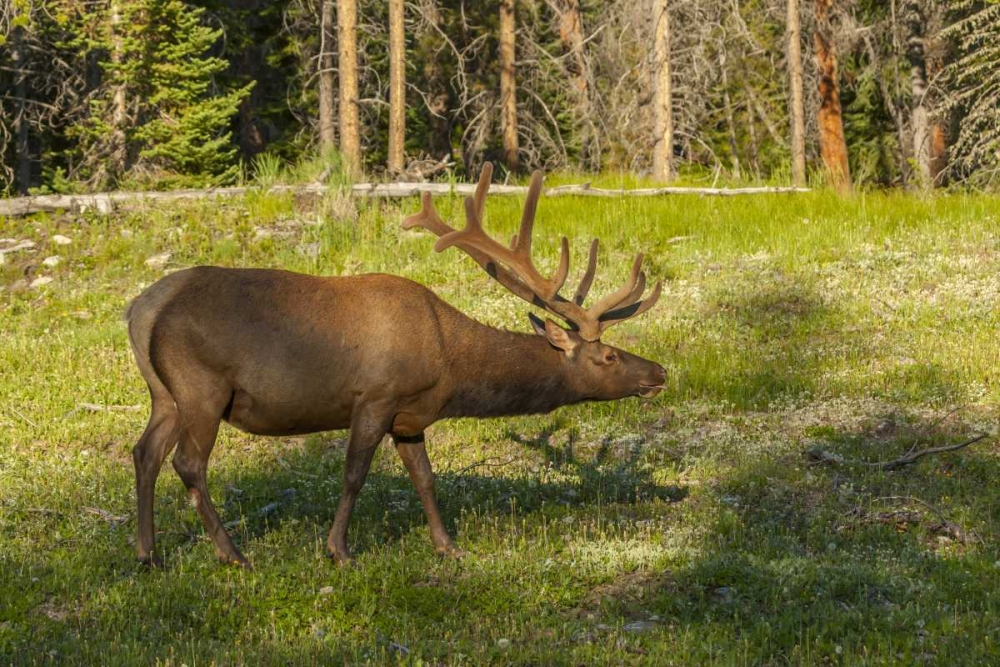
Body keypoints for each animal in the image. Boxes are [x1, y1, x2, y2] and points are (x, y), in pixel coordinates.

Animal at [129, 164, 668, 568]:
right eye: (609, 356)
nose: (659, 372)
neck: (450, 364)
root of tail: (139, 309)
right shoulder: (376, 397)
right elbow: (354, 474)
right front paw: (339, 551)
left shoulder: (411, 416)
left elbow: (425, 478)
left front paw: (448, 546)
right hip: (202, 387)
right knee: (187, 462)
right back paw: (232, 553)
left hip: (164, 394)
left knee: (145, 452)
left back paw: (148, 553)